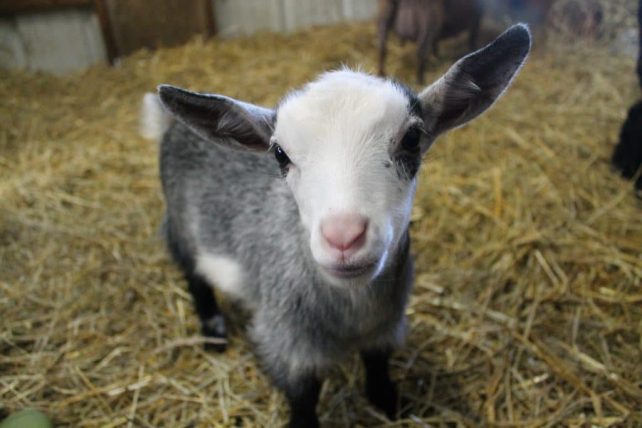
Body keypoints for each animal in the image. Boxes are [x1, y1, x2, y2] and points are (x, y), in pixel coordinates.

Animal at [142, 25, 531, 427]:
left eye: (412, 139)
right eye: (279, 154)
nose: (343, 237)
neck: (352, 312)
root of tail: (171, 125)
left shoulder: (385, 327)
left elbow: (378, 367)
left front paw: (389, 403)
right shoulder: (286, 342)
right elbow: (303, 399)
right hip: (181, 226)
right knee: (193, 274)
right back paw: (214, 332)